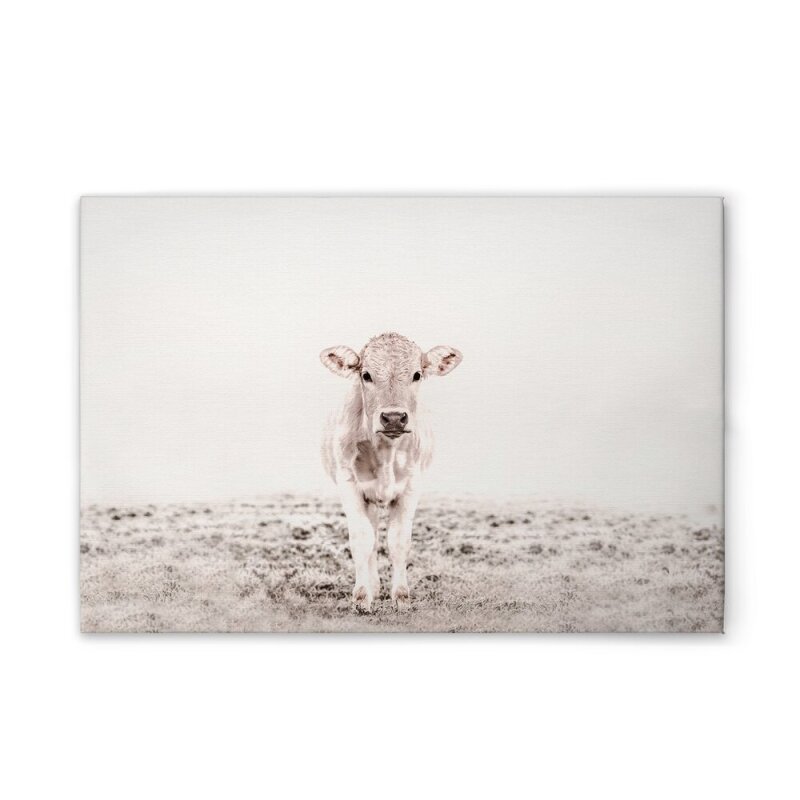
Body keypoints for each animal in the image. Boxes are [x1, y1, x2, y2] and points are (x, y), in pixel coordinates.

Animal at [320, 332, 462, 612]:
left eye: (417, 374)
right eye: (366, 375)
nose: (394, 417)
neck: (386, 452)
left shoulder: (412, 486)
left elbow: (398, 541)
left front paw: (401, 597)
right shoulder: (349, 484)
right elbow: (362, 539)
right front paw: (362, 596)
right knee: (372, 537)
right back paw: (373, 586)